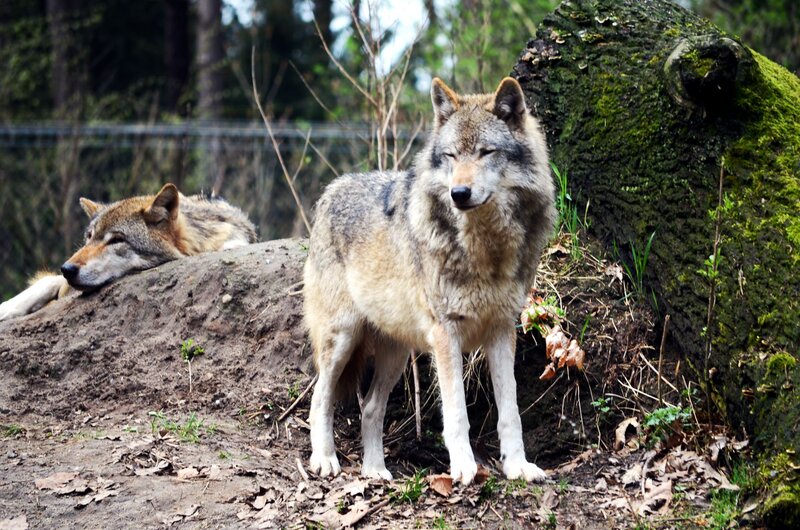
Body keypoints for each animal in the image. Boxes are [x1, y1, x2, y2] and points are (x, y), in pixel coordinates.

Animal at [304, 77, 556, 485]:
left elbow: (511, 413)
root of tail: (332, 189)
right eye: (451, 156)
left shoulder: (502, 330)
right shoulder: (445, 333)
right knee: (319, 400)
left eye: (486, 152)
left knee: (370, 408)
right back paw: (325, 460)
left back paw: (375, 470)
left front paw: (518, 467)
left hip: (395, 354)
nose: (459, 193)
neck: (484, 249)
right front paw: (465, 468)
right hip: (342, 339)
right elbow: (457, 414)